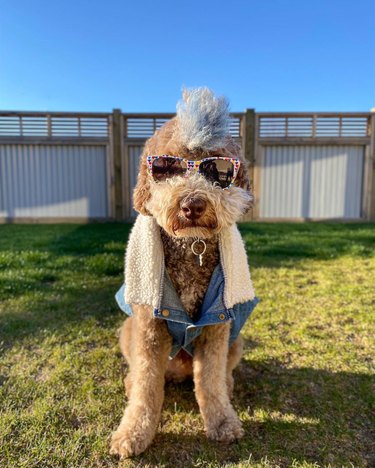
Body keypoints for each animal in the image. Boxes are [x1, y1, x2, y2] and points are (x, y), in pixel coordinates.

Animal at [110, 88, 260, 458]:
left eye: (218, 169)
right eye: (166, 167)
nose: (192, 205)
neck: (192, 245)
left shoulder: (217, 326)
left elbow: (209, 381)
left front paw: (223, 423)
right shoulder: (148, 327)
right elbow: (147, 386)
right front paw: (133, 432)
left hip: (237, 340)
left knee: (220, 374)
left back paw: (228, 385)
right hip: (127, 330)